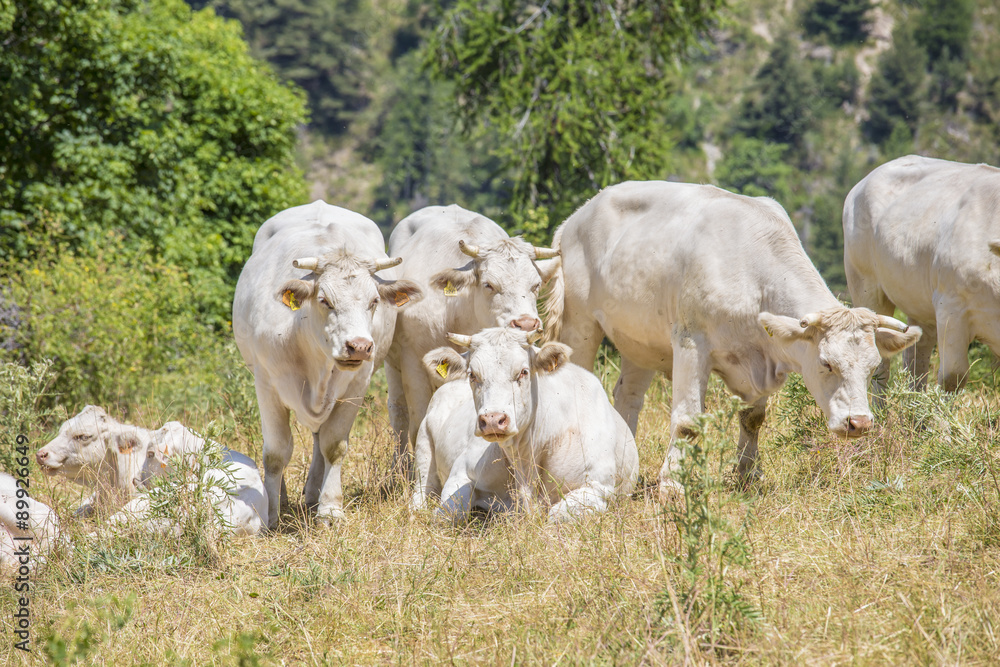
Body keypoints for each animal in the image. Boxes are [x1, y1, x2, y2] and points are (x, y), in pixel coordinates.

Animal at [233, 200, 422, 528]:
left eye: (374, 301)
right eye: (325, 301)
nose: (359, 346)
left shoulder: (356, 385)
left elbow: (334, 445)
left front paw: (330, 508)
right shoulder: (266, 385)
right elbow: (276, 452)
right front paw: (271, 512)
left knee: (319, 440)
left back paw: (313, 494)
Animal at [385, 205, 557, 475]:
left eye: (536, 285)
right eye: (489, 285)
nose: (527, 323)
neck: (457, 311)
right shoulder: (412, 362)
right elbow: (416, 423)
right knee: (399, 415)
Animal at [442, 328, 639, 522]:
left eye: (523, 371)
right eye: (472, 374)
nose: (492, 420)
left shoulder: (598, 487)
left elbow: (555, 516)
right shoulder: (461, 472)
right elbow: (451, 513)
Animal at [541, 181, 922, 497]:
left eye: (873, 367)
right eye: (826, 363)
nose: (859, 423)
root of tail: (576, 218)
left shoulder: (759, 357)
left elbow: (753, 418)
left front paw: (747, 475)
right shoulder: (690, 342)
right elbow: (688, 421)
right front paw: (673, 485)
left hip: (639, 340)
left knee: (628, 397)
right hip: (580, 325)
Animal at [843, 155, 1000, 393]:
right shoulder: (951, 307)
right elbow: (952, 377)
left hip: (918, 306)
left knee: (915, 362)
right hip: (866, 287)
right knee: (881, 366)